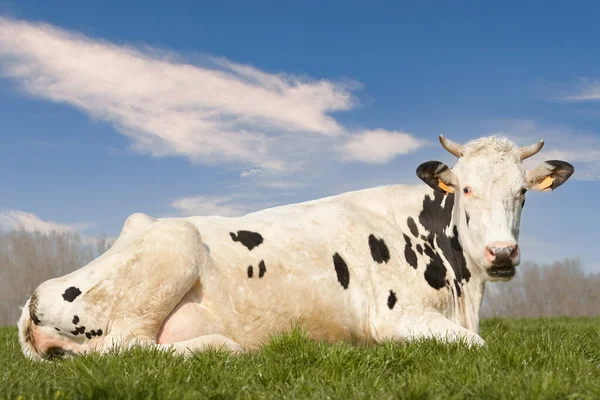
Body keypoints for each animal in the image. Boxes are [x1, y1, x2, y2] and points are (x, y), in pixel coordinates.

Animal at [17, 134, 572, 360]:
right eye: (466, 188)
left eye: (523, 192)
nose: (502, 253)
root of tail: (35, 296)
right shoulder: (396, 316)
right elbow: (479, 347)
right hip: (174, 244)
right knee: (129, 345)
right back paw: (225, 347)